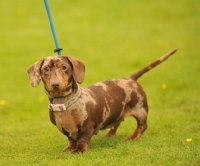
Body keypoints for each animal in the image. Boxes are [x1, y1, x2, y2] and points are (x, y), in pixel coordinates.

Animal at [27, 48, 178, 153]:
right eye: (46, 69)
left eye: (64, 67)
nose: (55, 84)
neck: (65, 103)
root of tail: (130, 79)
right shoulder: (64, 129)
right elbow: (71, 139)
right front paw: (69, 148)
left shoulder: (87, 127)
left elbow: (82, 139)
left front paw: (79, 150)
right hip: (118, 112)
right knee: (117, 123)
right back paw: (110, 134)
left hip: (140, 110)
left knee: (142, 126)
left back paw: (133, 137)